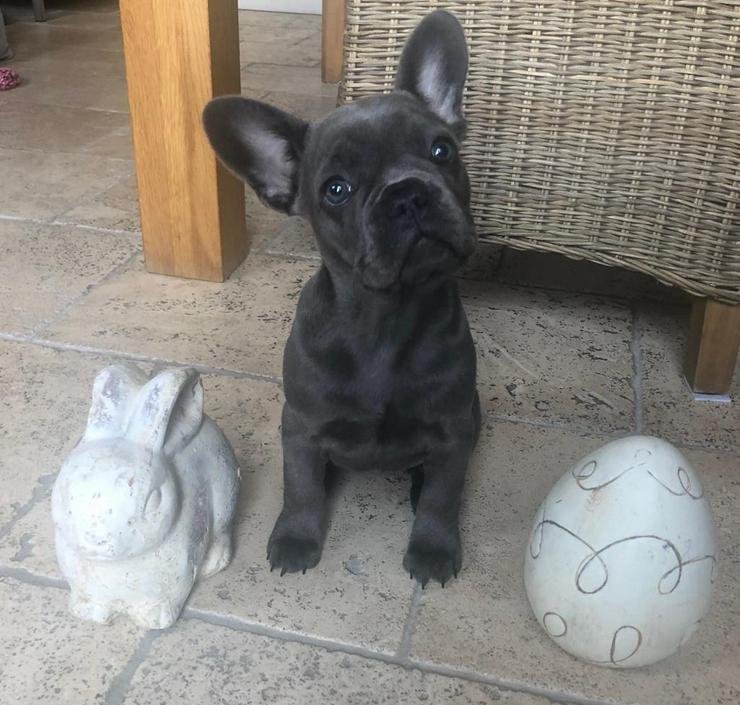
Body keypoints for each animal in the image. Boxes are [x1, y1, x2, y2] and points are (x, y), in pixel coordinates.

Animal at [202, 11, 480, 584]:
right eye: (336, 190)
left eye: (442, 151)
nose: (407, 193)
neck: (385, 317)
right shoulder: (302, 428)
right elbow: (302, 487)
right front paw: (294, 539)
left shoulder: (454, 430)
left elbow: (444, 494)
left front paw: (433, 549)